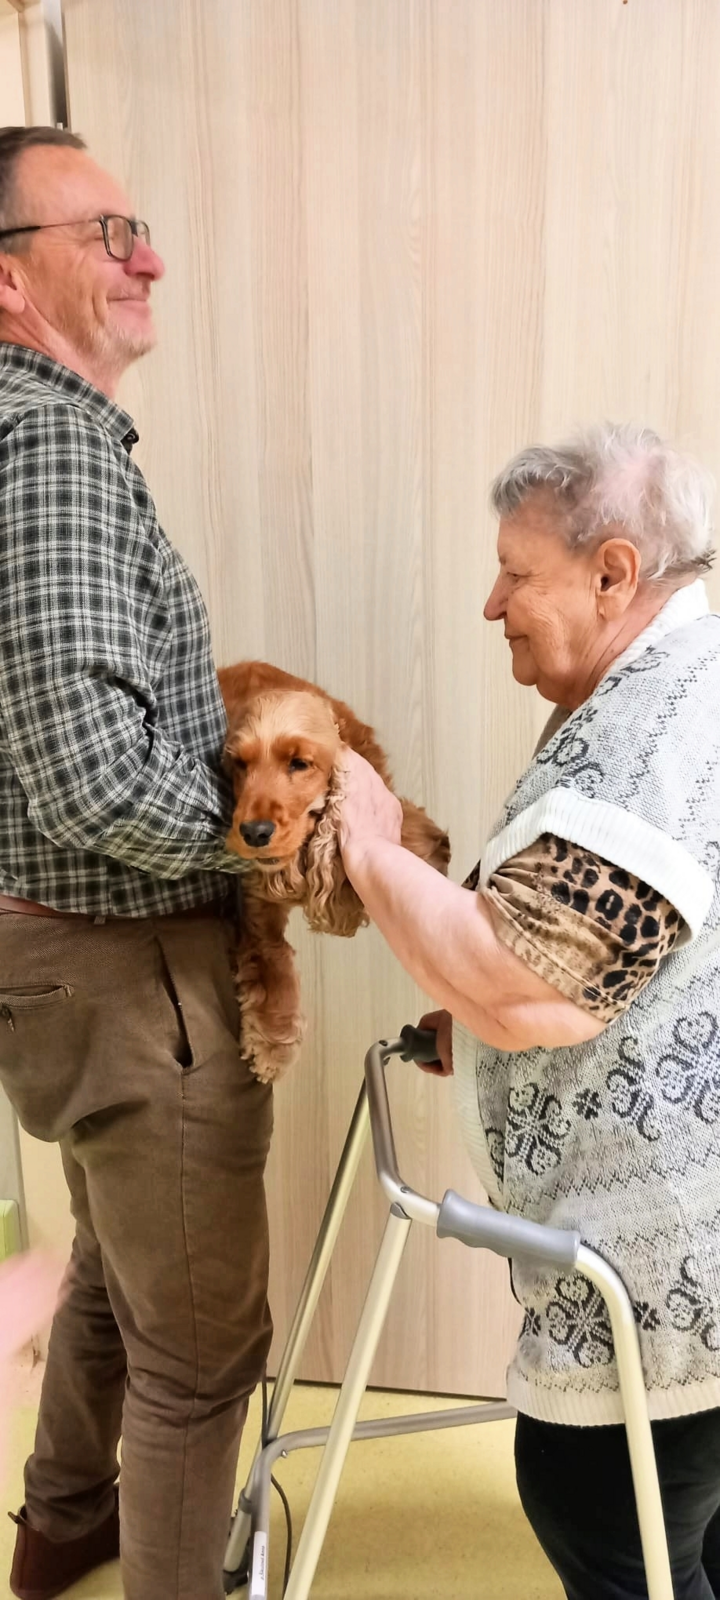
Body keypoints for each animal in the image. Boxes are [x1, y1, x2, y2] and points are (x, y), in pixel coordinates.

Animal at [217, 660, 451, 1082]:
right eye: (239, 765)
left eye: (298, 763)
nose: (254, 832)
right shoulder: (256, 901)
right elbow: (270, 954)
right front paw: (273, 1043)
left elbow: (405, 824)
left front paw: (433, 851)